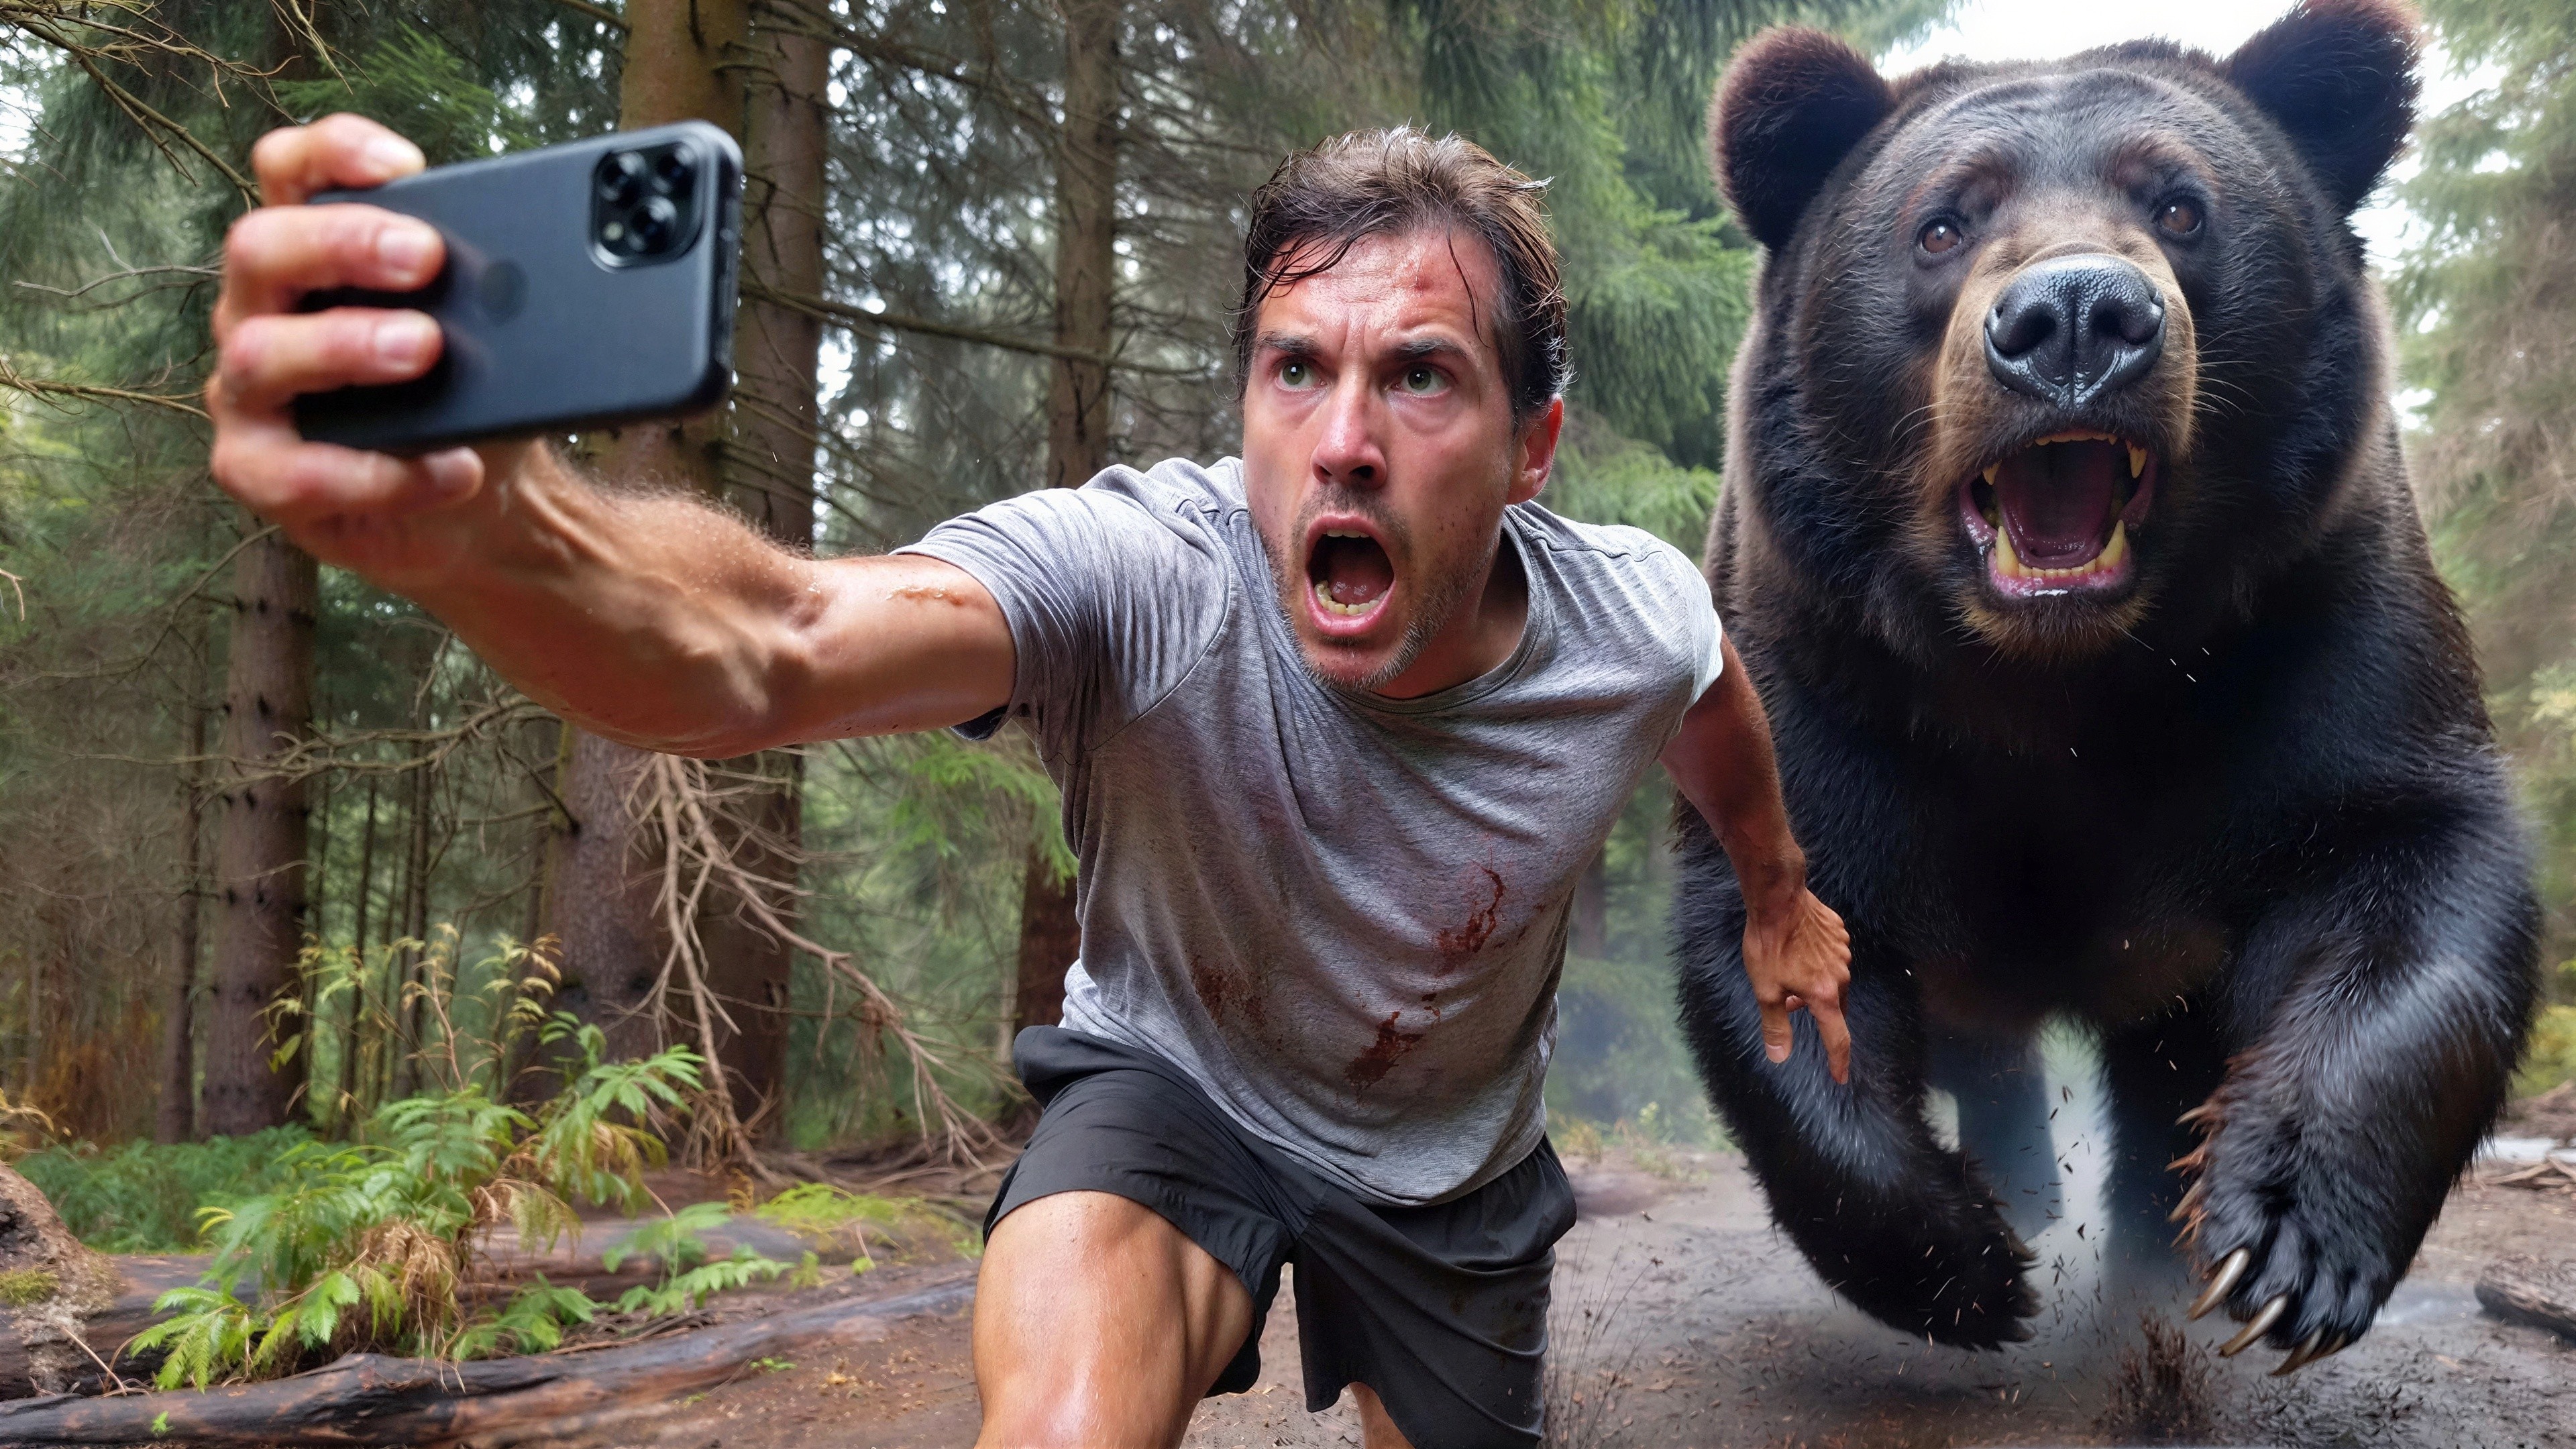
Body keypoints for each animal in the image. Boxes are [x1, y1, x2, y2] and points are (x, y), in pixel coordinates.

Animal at [1670, 0, 2543, 1373]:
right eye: (1943, 222)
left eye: (2180, 205)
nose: (2077, 316)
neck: (2065, 682)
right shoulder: (1825, 679)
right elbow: (1784, 932)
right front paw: (1965, 1265)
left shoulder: (2317, 646)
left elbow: (2411, 870)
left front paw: (2285, 1243)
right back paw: (2029, 1206)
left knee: (2164, 1068)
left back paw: (2150, 1251)